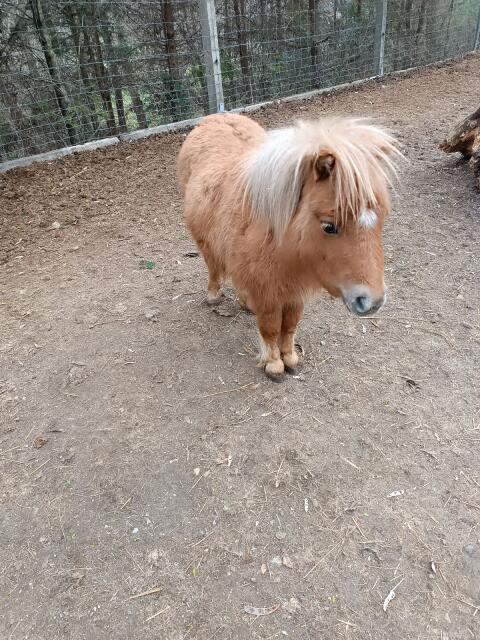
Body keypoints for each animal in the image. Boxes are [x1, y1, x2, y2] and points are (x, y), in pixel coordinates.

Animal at [177, 112, 401, 380]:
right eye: (329, 226)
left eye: (382, 217)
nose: (372, 302)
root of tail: (215, 117)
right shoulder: (268, 291)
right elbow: (271, 328)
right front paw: (274, 365)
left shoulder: (294, 290)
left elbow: (291, 324)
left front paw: (290, 358)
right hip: (206, 243)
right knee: (213, 267)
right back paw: (213, 296)